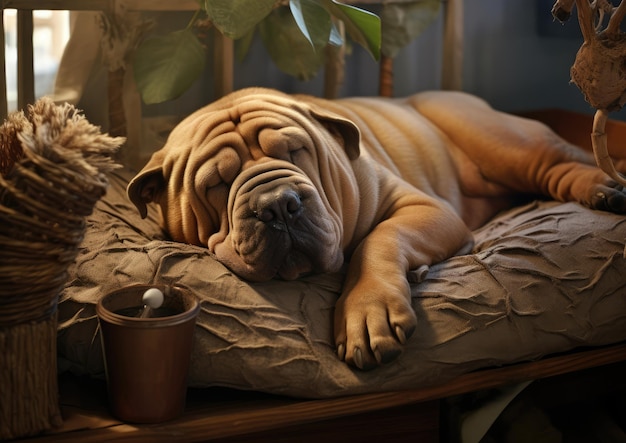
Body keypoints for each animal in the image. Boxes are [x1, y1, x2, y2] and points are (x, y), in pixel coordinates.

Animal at [127, 86, 624, 372]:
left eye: (295, 150)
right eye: (216, 183)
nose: (278, 205)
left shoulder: (422, 207)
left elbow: (377, 240)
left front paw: (367, 313)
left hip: (503, 141)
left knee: (560, 163)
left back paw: (603, 188)